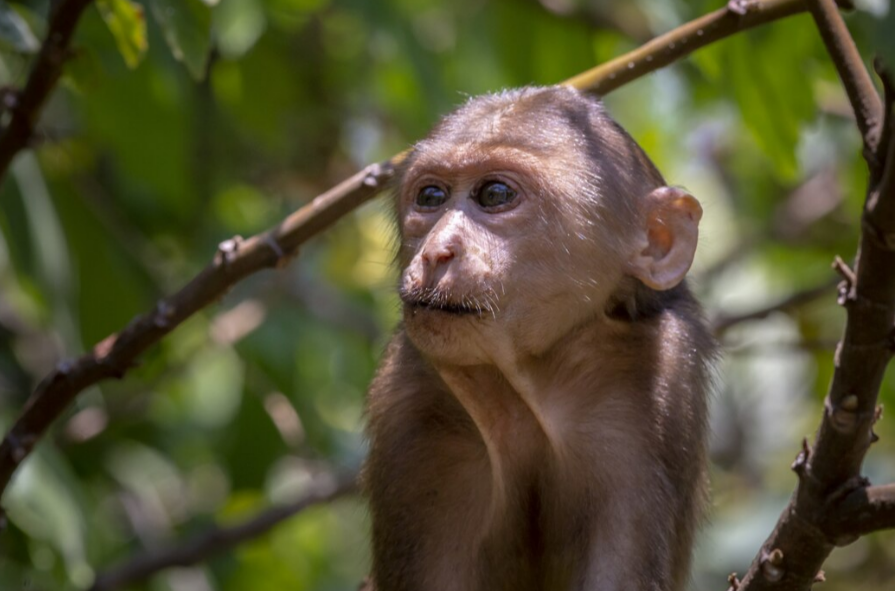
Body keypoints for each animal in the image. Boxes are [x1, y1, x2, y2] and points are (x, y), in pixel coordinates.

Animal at [362, 86, 712, 591]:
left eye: (495, 194)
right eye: (430, 196)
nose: (435, 252)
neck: (526, 383)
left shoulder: (658, 385)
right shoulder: (411, 411)